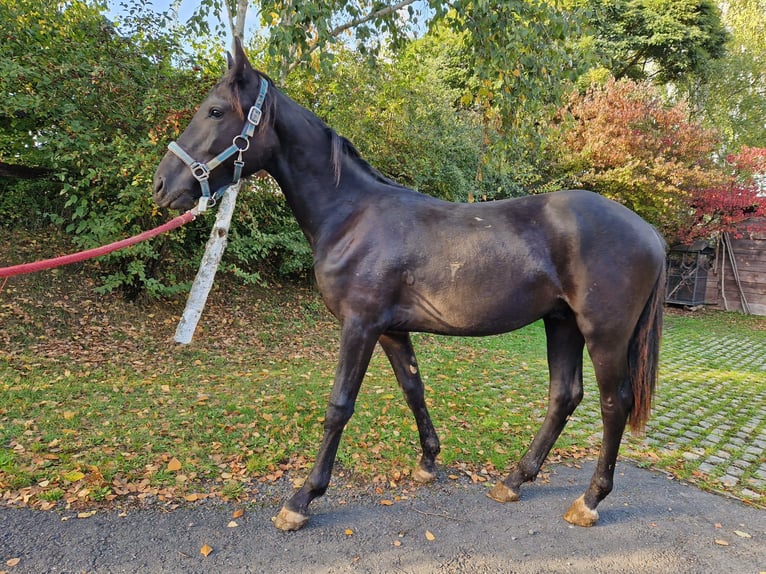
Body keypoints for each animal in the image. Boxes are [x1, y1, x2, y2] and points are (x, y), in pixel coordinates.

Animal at [153, 39, 666, 531]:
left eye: (216, 110)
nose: (161, 185)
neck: (352, 215)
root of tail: (651, 233)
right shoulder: (392, 330)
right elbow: (413, 388)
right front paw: (428, 462)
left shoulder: (360, 325)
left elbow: (339, 405)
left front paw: (303, 498)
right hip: (561, 323)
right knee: (564, 396)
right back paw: (514, 480)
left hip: (603, 334)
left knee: (614, 404)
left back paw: (589, 500)